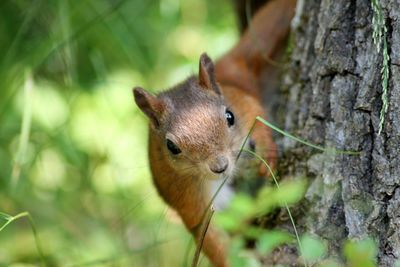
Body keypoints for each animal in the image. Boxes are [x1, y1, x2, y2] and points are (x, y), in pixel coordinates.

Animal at [133, 1, 296, 266]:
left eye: (229, 116)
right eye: (171, 147)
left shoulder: (241, 102)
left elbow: (255, 114)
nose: (220, 167)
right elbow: (210, 237)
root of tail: (226, 68)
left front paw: (265, 149)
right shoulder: (187, 196)